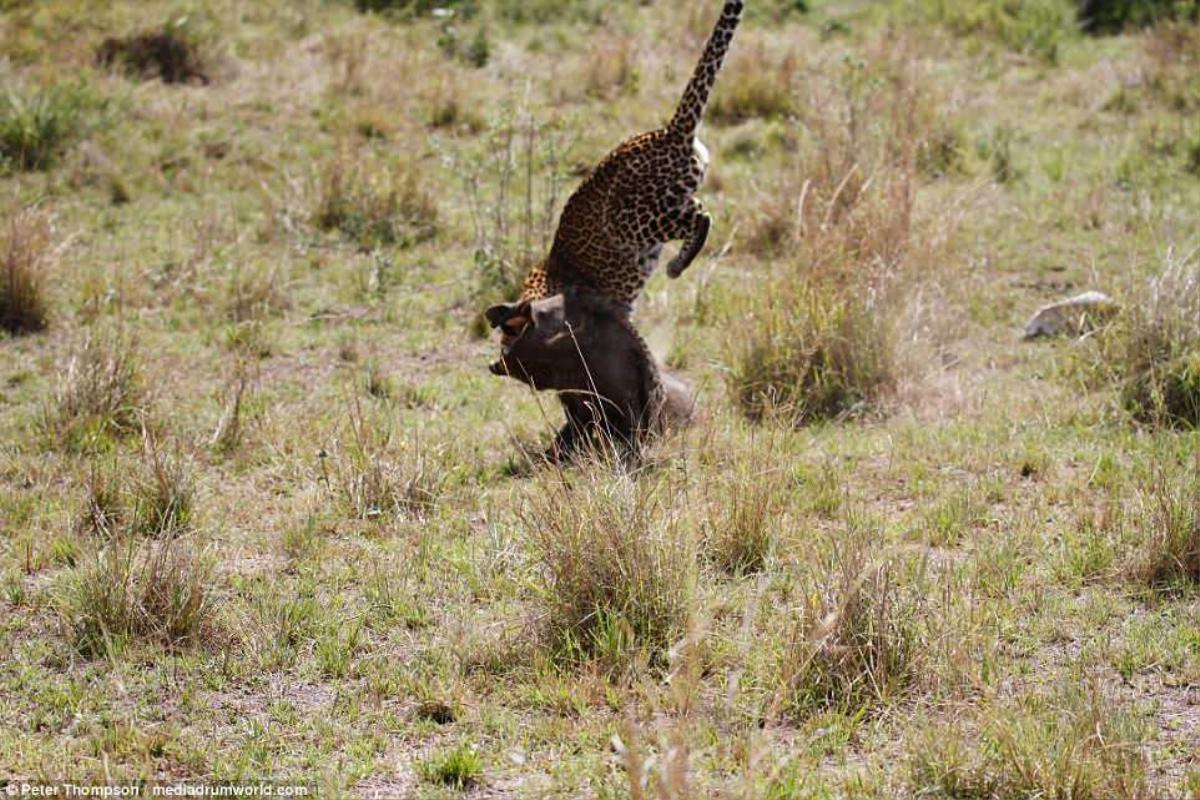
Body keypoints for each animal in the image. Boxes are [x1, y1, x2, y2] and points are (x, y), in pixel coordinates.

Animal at [484, 0, 744, 335]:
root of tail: (670, 132)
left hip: (628, 219)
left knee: (701, 215)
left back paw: (676, 266)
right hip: (660, 206)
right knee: (697, 209)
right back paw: (678, 264)